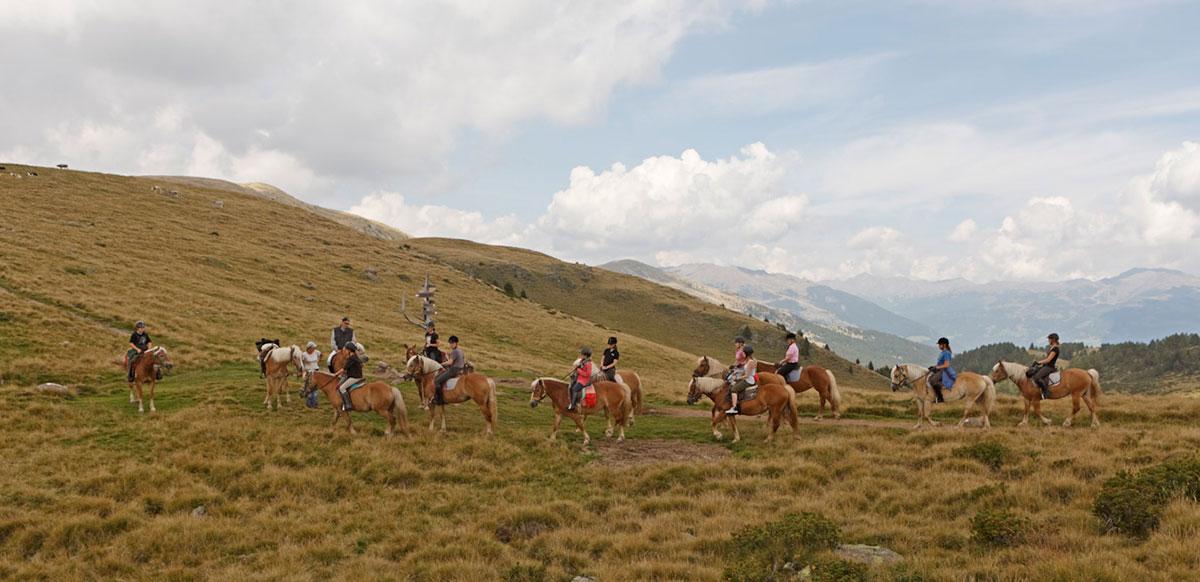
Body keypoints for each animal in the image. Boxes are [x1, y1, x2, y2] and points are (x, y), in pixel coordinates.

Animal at [696, 355, 844, 420]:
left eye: (702, 365)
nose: (694, 373)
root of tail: (824, 370)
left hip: (821, 388)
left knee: (826, 399)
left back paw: (829, 415)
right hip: (821, 388)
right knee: (825, 399)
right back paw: (829, 414)